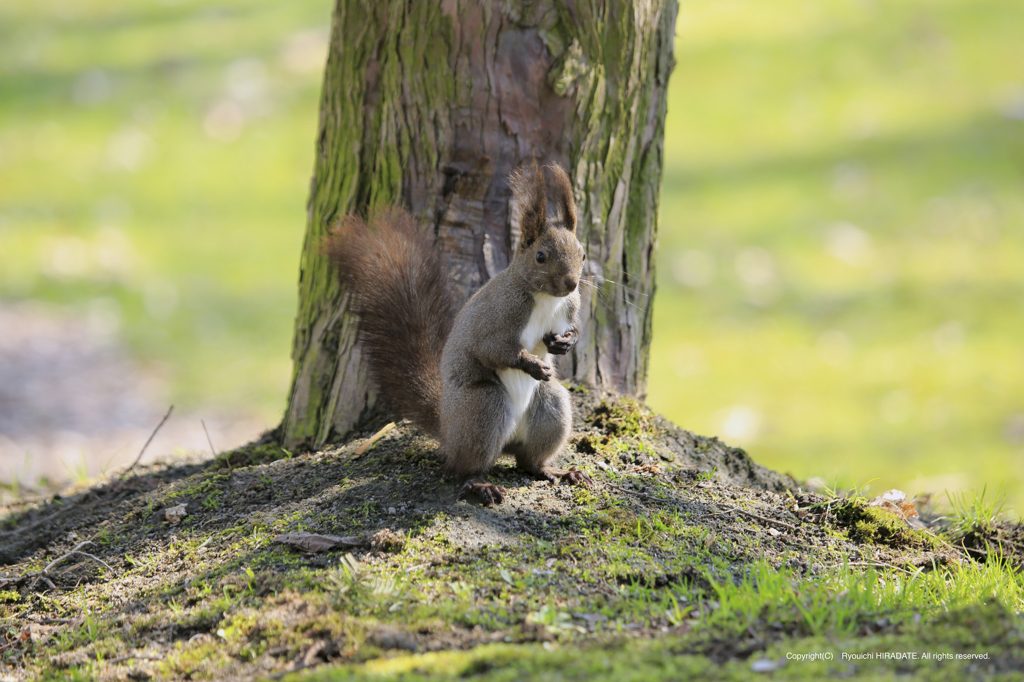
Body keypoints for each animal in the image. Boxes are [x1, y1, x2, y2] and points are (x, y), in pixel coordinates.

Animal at [327, 163, 593, 503]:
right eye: (540, 257)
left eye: (582, 255)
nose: (571, 283)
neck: (546, 297)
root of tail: (447, 428)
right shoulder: (499, 315)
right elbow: (493, 350)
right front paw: (532, 364)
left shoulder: (570, 306)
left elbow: (573, 329)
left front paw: (565, 343)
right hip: (482, 406)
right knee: (463, 467)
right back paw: (480, 484)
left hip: (551, 407)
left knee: (529, 461)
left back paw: (556, 470)